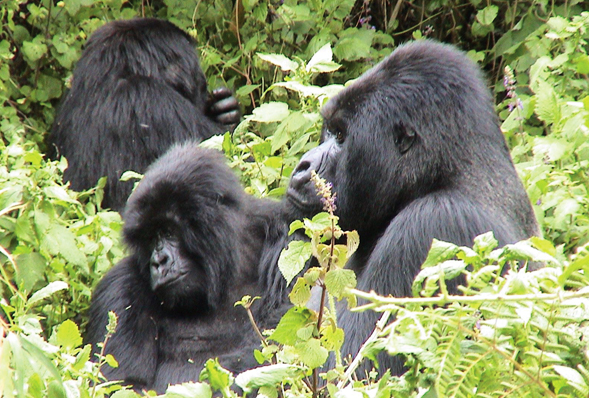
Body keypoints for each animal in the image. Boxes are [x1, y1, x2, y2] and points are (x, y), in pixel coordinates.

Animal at [264, 40, 540, 376]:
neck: (444, 173)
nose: (304, 165)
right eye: (328, 131)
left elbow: (357, 368)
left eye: (341, 136)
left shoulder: (432, 224)